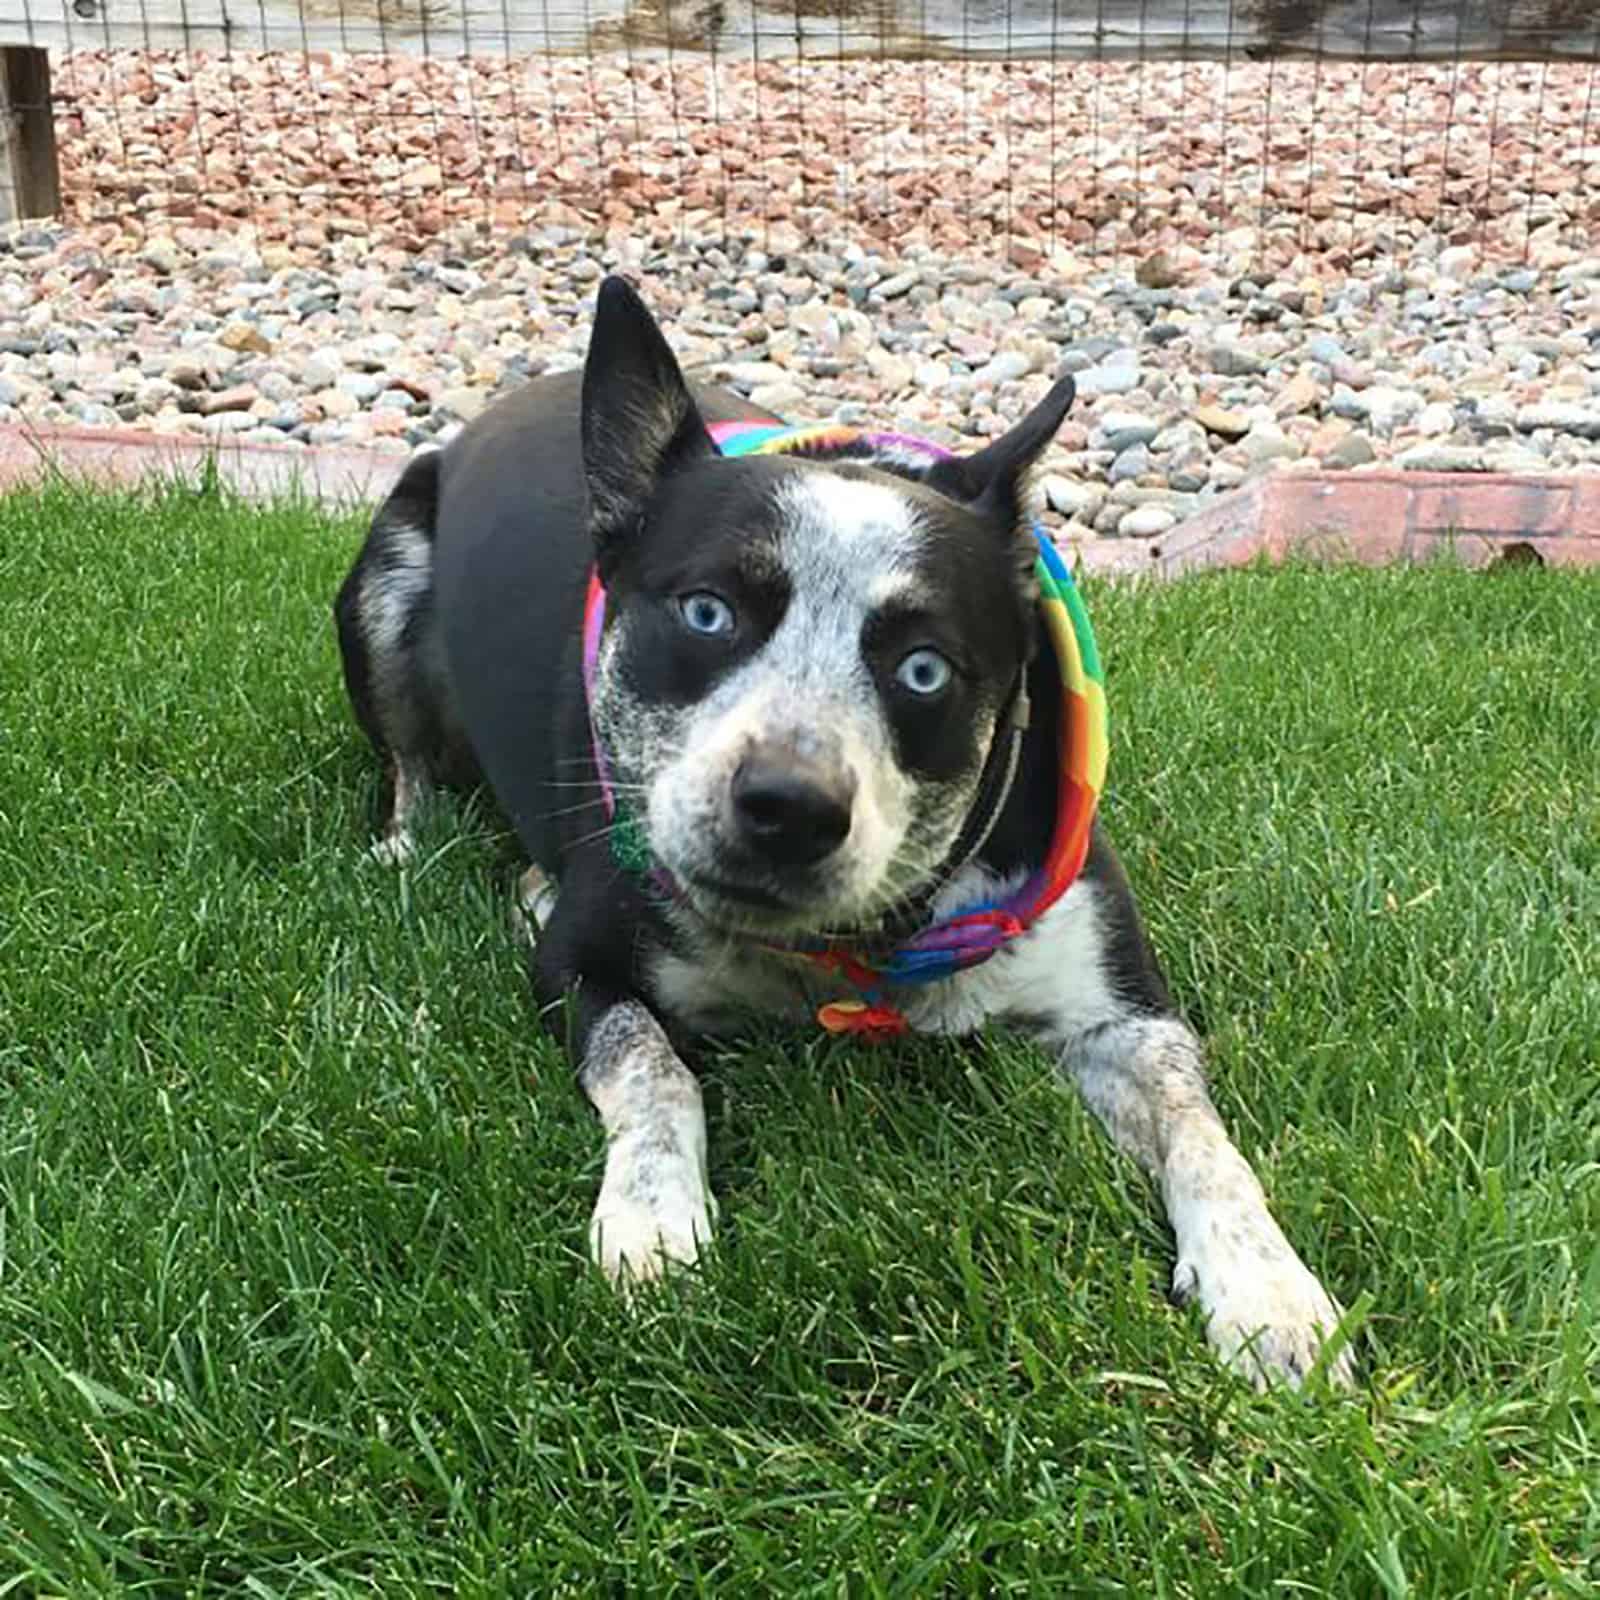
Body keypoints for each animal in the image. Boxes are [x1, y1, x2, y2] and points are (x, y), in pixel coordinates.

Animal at [334, 275, 1350, 1388]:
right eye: (705, 613)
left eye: (924, 669)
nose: (789, 804)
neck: (856, 943)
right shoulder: (579, 966)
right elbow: (653, 1069)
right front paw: (654, 1222)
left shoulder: (1123, 1012)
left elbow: (1203, 1132)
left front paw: (1270, 1290)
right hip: (385, 569)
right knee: (410, 762)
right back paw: (411, 842)